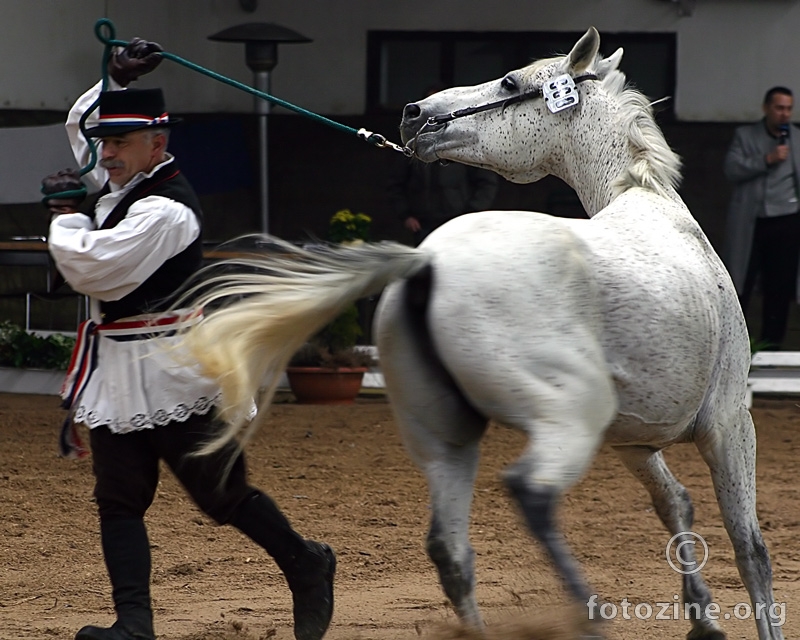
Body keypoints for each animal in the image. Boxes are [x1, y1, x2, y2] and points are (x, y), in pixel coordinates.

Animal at [178, 28, 784, 640]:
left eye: (510, 82)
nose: (413, 114)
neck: (652, 205)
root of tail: (426, 263)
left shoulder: (636, 440)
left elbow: (676, 505)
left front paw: (704, 619)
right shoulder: (728, 424)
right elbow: (749, 547)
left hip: (447, 439)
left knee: (451, 552)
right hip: (565, 418)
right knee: (530, 493)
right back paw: (586, 610)